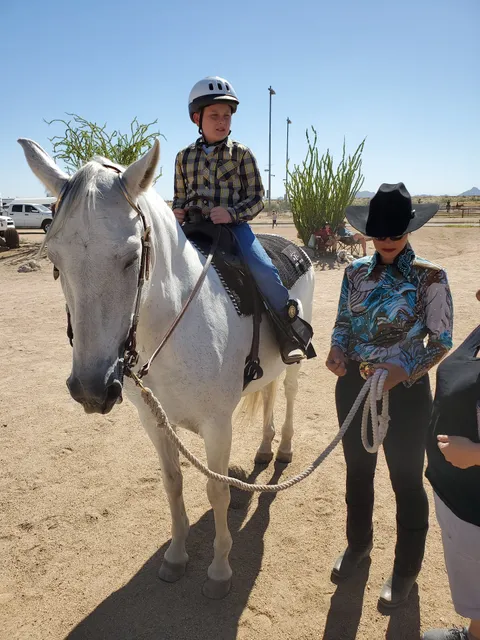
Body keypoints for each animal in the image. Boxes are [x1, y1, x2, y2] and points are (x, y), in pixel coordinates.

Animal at [18, 138, 316, 599]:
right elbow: (173, 484)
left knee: (287, 395)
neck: (176, 325)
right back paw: (265, 449)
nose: (91, 389)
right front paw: (176, 557)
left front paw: (219, 570)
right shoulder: (154, 422)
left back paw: (281, 449)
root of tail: (294, 247)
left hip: (294, 365)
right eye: (54, 258)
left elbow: (216, 490)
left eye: (131, 257)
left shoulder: (217, 426)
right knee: (266, 393)